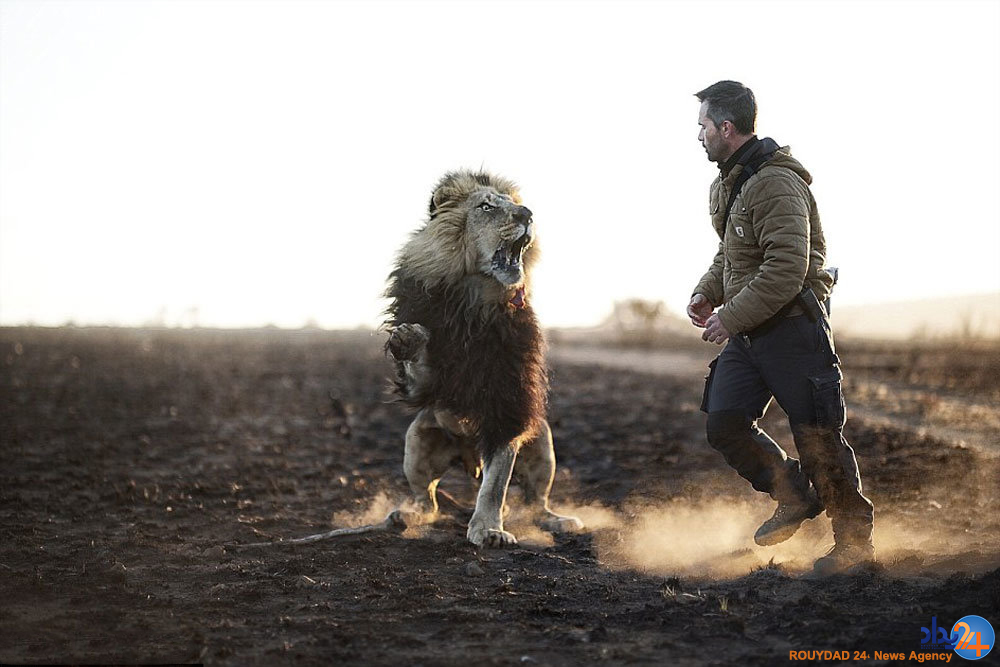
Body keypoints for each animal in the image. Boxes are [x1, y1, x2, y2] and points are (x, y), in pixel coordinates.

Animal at [384, 171, 584, 548]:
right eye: (487, 207)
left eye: (515, 204)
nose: (527, 214)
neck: (473, 302)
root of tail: (469, 457)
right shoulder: (428, 386)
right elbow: (420, 373)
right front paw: (409, 340)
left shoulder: (509, 402)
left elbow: (495, 485)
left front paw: (489, 529)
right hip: (416, 440)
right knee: (427, 500)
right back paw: (405, 515)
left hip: (542, 441)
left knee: (535, 501)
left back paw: (559, 520)